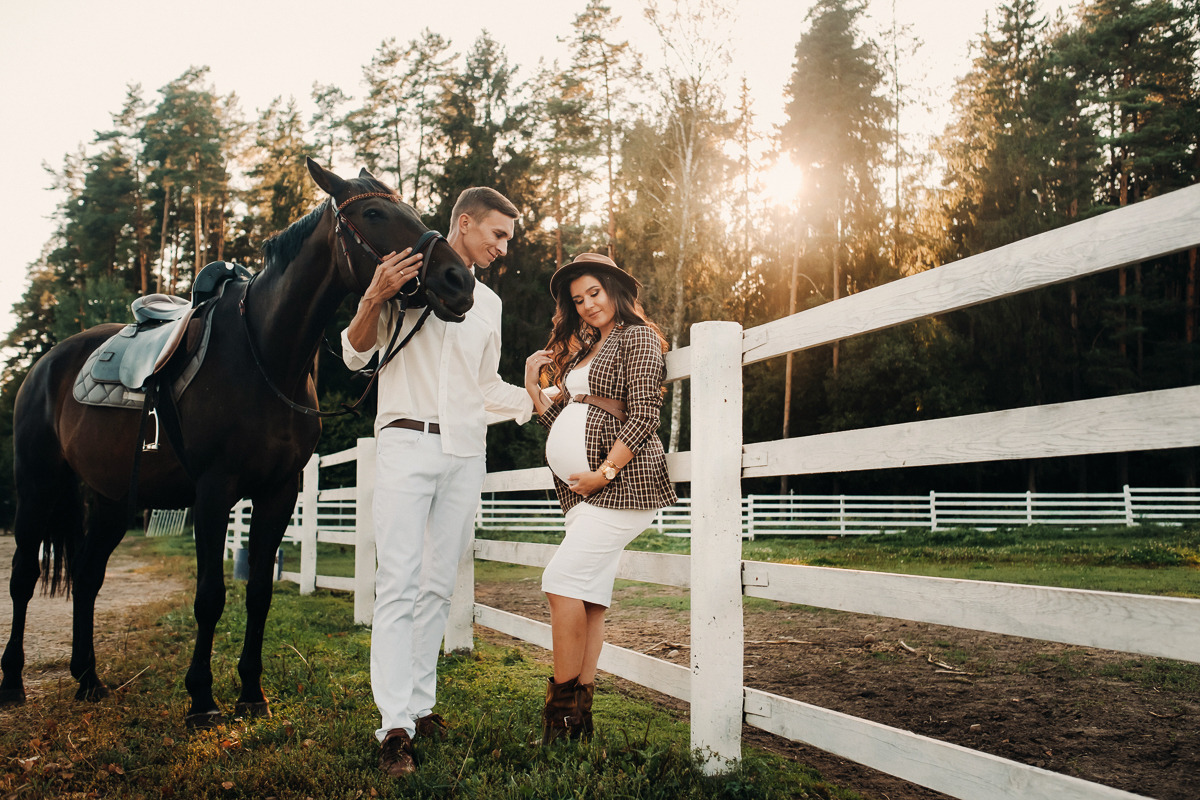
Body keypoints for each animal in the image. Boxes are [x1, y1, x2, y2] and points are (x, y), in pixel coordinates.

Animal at [1, 159, 477, 729]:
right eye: (374, 214)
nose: (459, 279)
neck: (266, 356)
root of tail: (47, 364)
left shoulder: (278, 491)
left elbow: (259, 593)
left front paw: (251, 692)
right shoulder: (214, 491)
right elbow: (210, 595)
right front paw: (202, 699)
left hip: (114, 499)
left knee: (89, 576)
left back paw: (89, 679)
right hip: (37, 486)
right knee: (24, 576)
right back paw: (12, 682)